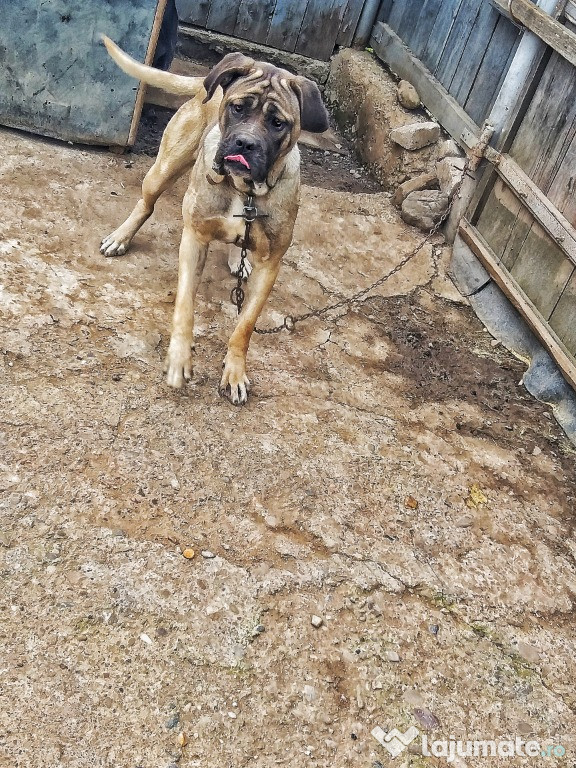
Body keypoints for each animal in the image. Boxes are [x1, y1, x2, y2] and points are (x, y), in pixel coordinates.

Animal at [99, 37, 328, 402]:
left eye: (278, 123)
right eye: (238, 108)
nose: (244, 144)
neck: (244, 191)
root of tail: (206, 83)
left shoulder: (270, 265)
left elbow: (245, 325)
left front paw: (235, 372)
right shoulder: (194, 238)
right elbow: (184, 306)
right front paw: (179, 359)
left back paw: (238, 258)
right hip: (164, 169)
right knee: (146, 203)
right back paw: (121, 236)